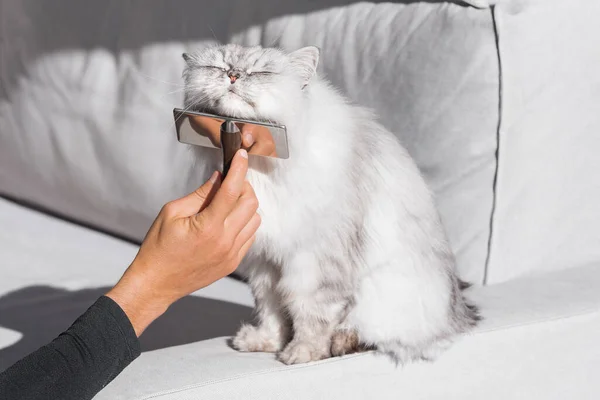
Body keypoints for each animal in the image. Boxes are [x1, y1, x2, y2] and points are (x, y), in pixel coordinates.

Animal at [180, 44, 480, 366]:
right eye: (218, 66)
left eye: (261, 72)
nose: (233, 75)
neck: (261, 167)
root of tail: (460, 313)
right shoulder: (265, 263)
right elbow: (272, 312)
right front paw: (266, 342)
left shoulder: (313, 262)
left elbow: (310, 315)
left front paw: (302, 353)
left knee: (371, 333)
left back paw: (342, 343)